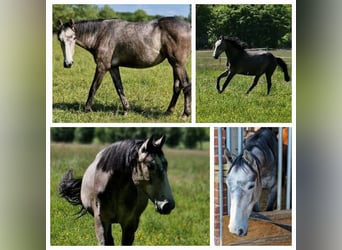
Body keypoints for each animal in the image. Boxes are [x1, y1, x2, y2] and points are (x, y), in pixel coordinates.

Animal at [57, 17, 191, 119]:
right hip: (174, 64)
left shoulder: (102, 67)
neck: (101, 34)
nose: (68, 63)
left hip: (178, 64)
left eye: (73, 37)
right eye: (60, 39)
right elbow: (119, 88)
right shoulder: (113, 67)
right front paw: (126, 110)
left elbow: (93, 88)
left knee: (186, 85)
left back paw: (185, 114)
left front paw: (86, 109)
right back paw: (169, 111)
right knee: (177, 87)